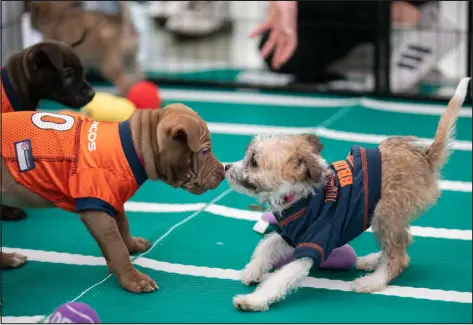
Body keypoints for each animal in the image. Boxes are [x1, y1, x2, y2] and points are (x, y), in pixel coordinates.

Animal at [0, 104, 225, 292]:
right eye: (205, 151)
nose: (223, 172)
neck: (134, 146)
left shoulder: (113, 199)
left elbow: (123, 228)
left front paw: (133, 246)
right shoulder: (96, 209)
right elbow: (116, 245)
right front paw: (133, 279)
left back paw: (8, 260)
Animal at [224, 78, 468, 312]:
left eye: (253, 161)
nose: (226, 166)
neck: (298, 201)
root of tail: (425, 156)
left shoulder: (314, 243)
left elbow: (281, 277)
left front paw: (253, 300)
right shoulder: (291, 235)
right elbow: (266, 246)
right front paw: (251, 270)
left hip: (386, 212)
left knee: (398, 256)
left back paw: (373, 281)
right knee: (402, 244)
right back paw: (371, 261)